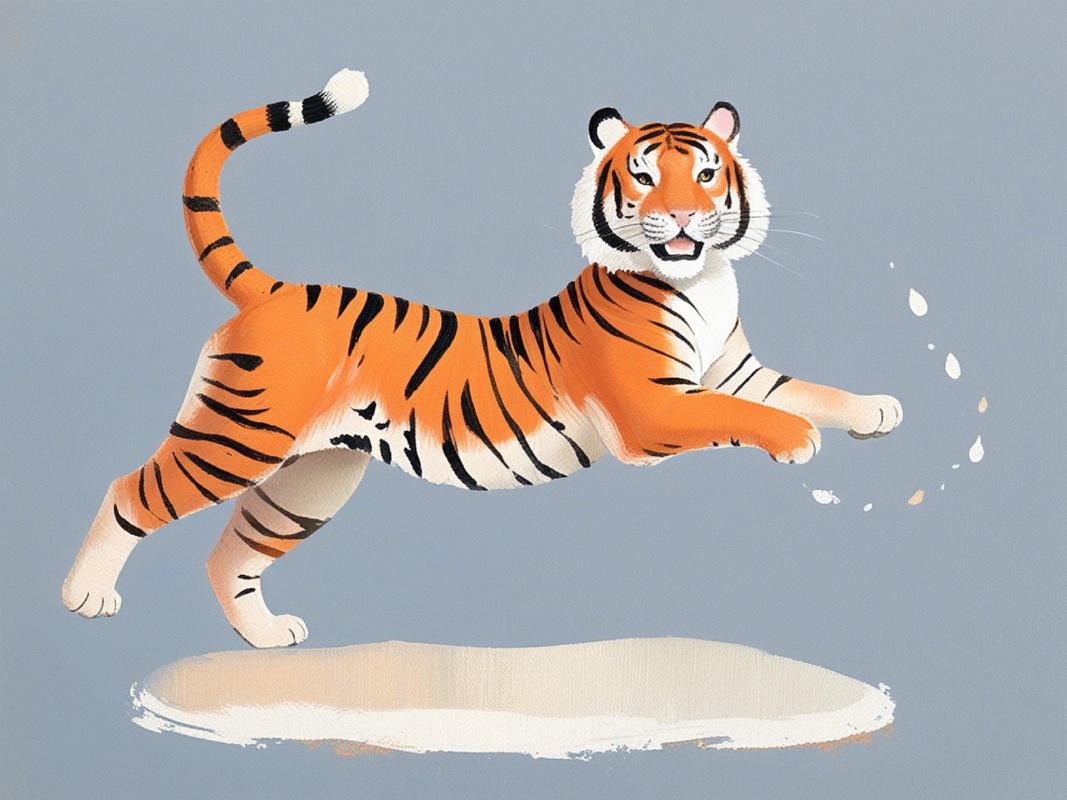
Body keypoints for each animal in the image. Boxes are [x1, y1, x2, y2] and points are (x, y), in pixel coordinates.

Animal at [62, 69, 902, 647]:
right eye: (642, 174)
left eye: (704, 172)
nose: (685, 218)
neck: (700, 282)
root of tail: (273, 287)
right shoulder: (655, 407)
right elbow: (746, 414)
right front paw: (798, 440)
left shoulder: (735, 370)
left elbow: (804, 388)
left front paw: (872, 410)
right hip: (240, 437)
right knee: (130, 490)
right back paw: (86, 596)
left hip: (311, 478)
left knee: (230, 553)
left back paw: (267, 638)